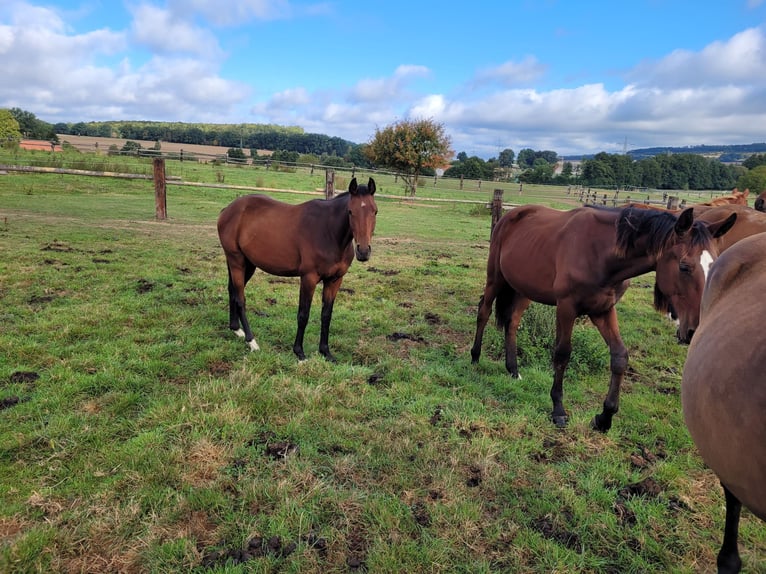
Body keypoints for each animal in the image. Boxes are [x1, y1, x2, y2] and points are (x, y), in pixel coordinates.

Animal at [217, 177, 378, 360]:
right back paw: (252, 342)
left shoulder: (335, 280)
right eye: (350, 212)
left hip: (248, 264)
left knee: (232, 291)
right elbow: (303, 314)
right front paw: (299, 352)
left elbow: (326, 315)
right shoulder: (309, 278)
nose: (363, 251)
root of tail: (228, 210)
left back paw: (236, 330)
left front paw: (326, 352)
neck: (329, 232)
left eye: (375, 211)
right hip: (236, 261)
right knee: (240, 299)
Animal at [470, 204, 736, 432]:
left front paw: (604, 417)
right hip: (496, 278)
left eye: (714, 265)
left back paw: (513, 370)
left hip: (524, 289)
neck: (601, 254)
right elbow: (562, 354)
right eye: (684, 266)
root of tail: (509, 215)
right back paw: (475, 357)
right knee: (484, 311)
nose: (693, 330)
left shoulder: (603, 310)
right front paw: (558, 410)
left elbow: (619, 357)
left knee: (512, 321)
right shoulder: (566, 308)